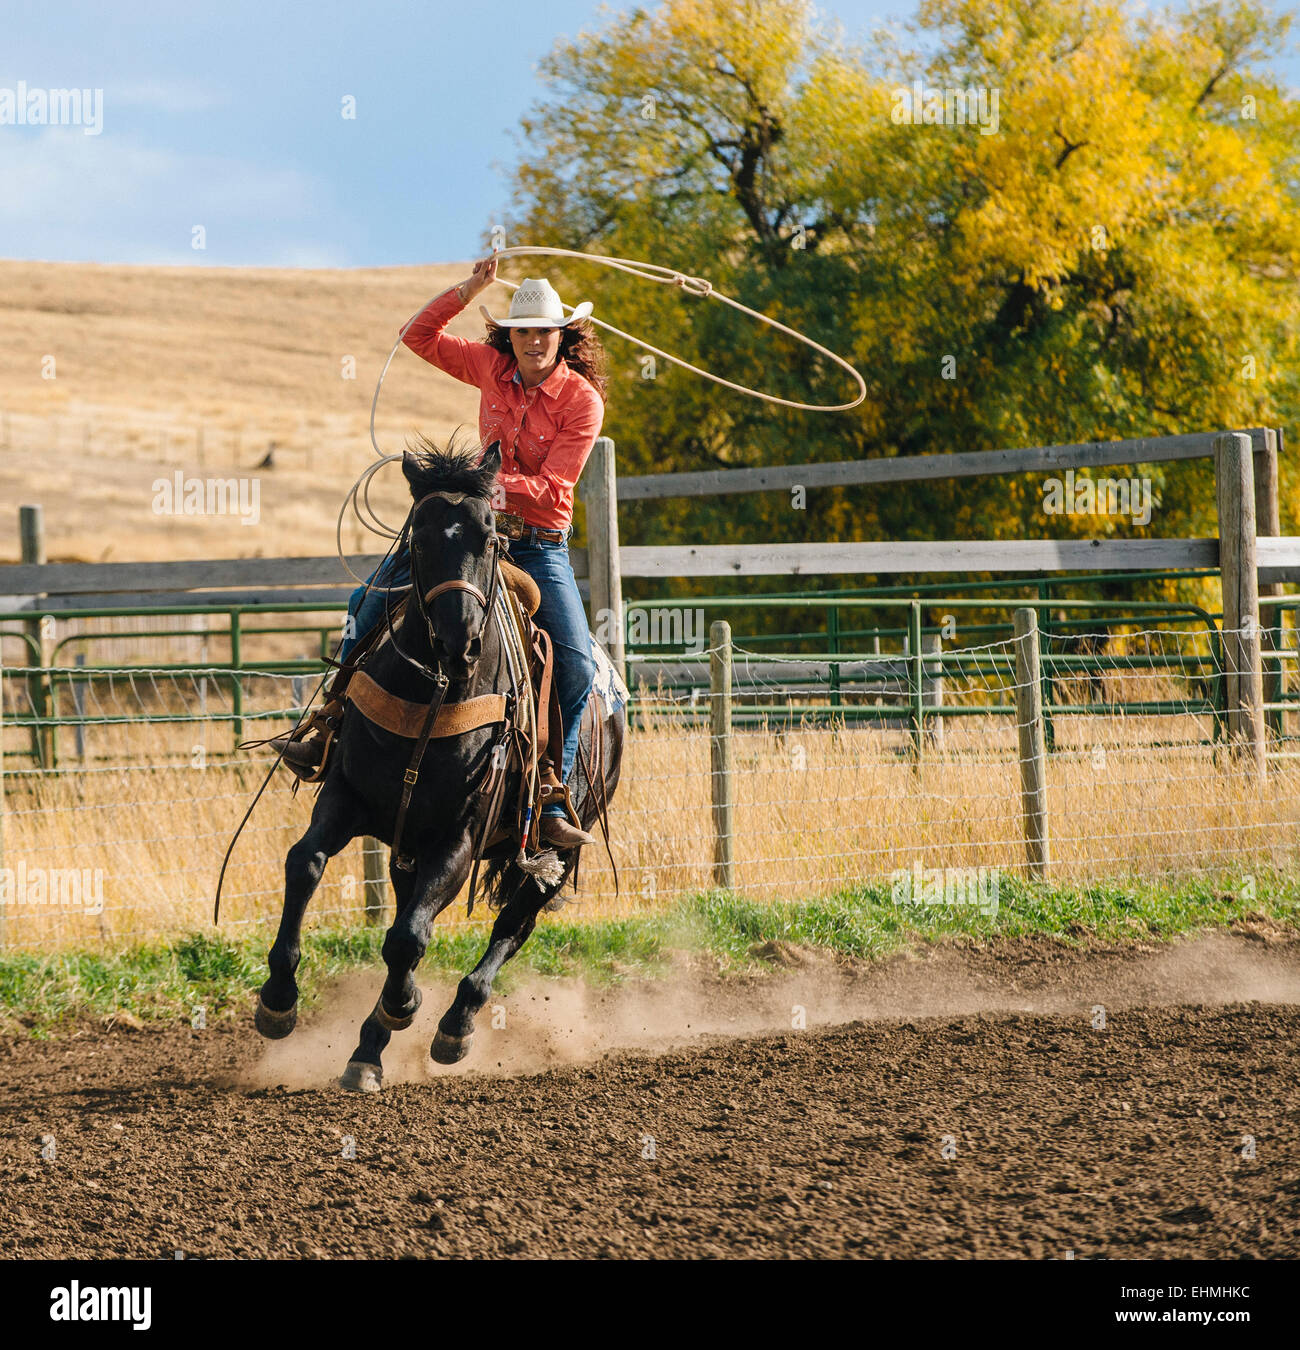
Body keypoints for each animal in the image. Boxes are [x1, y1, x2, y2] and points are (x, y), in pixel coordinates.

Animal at [254, 436, 625, 1091]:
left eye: (490, 538)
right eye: (419, 540)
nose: (460, 642)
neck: (435, 692)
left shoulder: (459, 837)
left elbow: (407, 938)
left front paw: (405, 1007)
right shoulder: (347, 797)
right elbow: (307, 864)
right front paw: (278, 999)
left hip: (558, 847)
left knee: (512, 927)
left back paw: (452, 1025)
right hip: (411, 844)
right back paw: (368, 1051)